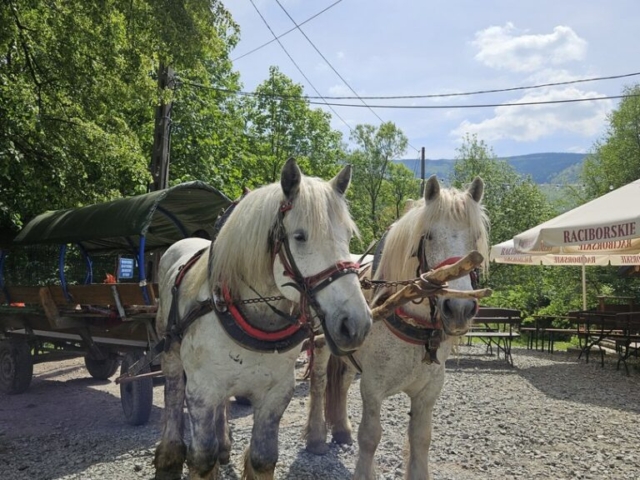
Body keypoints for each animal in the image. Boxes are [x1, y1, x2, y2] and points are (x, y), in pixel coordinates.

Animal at [154, 158, 372, 480]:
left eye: (346, 237)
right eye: (300, 236)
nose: (356, 324)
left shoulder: (276, 393)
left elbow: (263, 458)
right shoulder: (201, 391)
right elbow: (202, 458)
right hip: (170, 351)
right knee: (171, 393)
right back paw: (169, 456)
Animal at [302, 176, 488, 480]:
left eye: (476, 238)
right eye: (428, 235)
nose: (459, 308)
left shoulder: (428, 391)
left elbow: (421, 438)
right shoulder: (372, 387)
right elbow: (370, 437)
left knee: (342, 382)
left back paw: (341, 430)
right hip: (321, 342)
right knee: (319, 382)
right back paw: (316, 438)